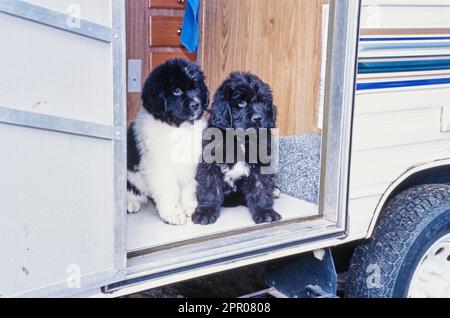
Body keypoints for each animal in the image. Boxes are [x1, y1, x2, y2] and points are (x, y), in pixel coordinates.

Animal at [126, 58, 209, 225]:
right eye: (176, 91)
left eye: (196, 88)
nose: (196, 104)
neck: (178, 127)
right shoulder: (160, 166)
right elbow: (168, 189)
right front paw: (174, 213)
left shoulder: (191, 163)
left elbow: (189, 185)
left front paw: (190, 205)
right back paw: (131, 202)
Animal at [192, 73, 282, 225]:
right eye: (241, 103)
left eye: (262, 103)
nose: (258, 118)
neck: (241, 139)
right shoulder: (210, 164)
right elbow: (210, 188)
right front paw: (206, 211)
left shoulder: (261, 164)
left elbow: (260, 188)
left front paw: (265, 212)